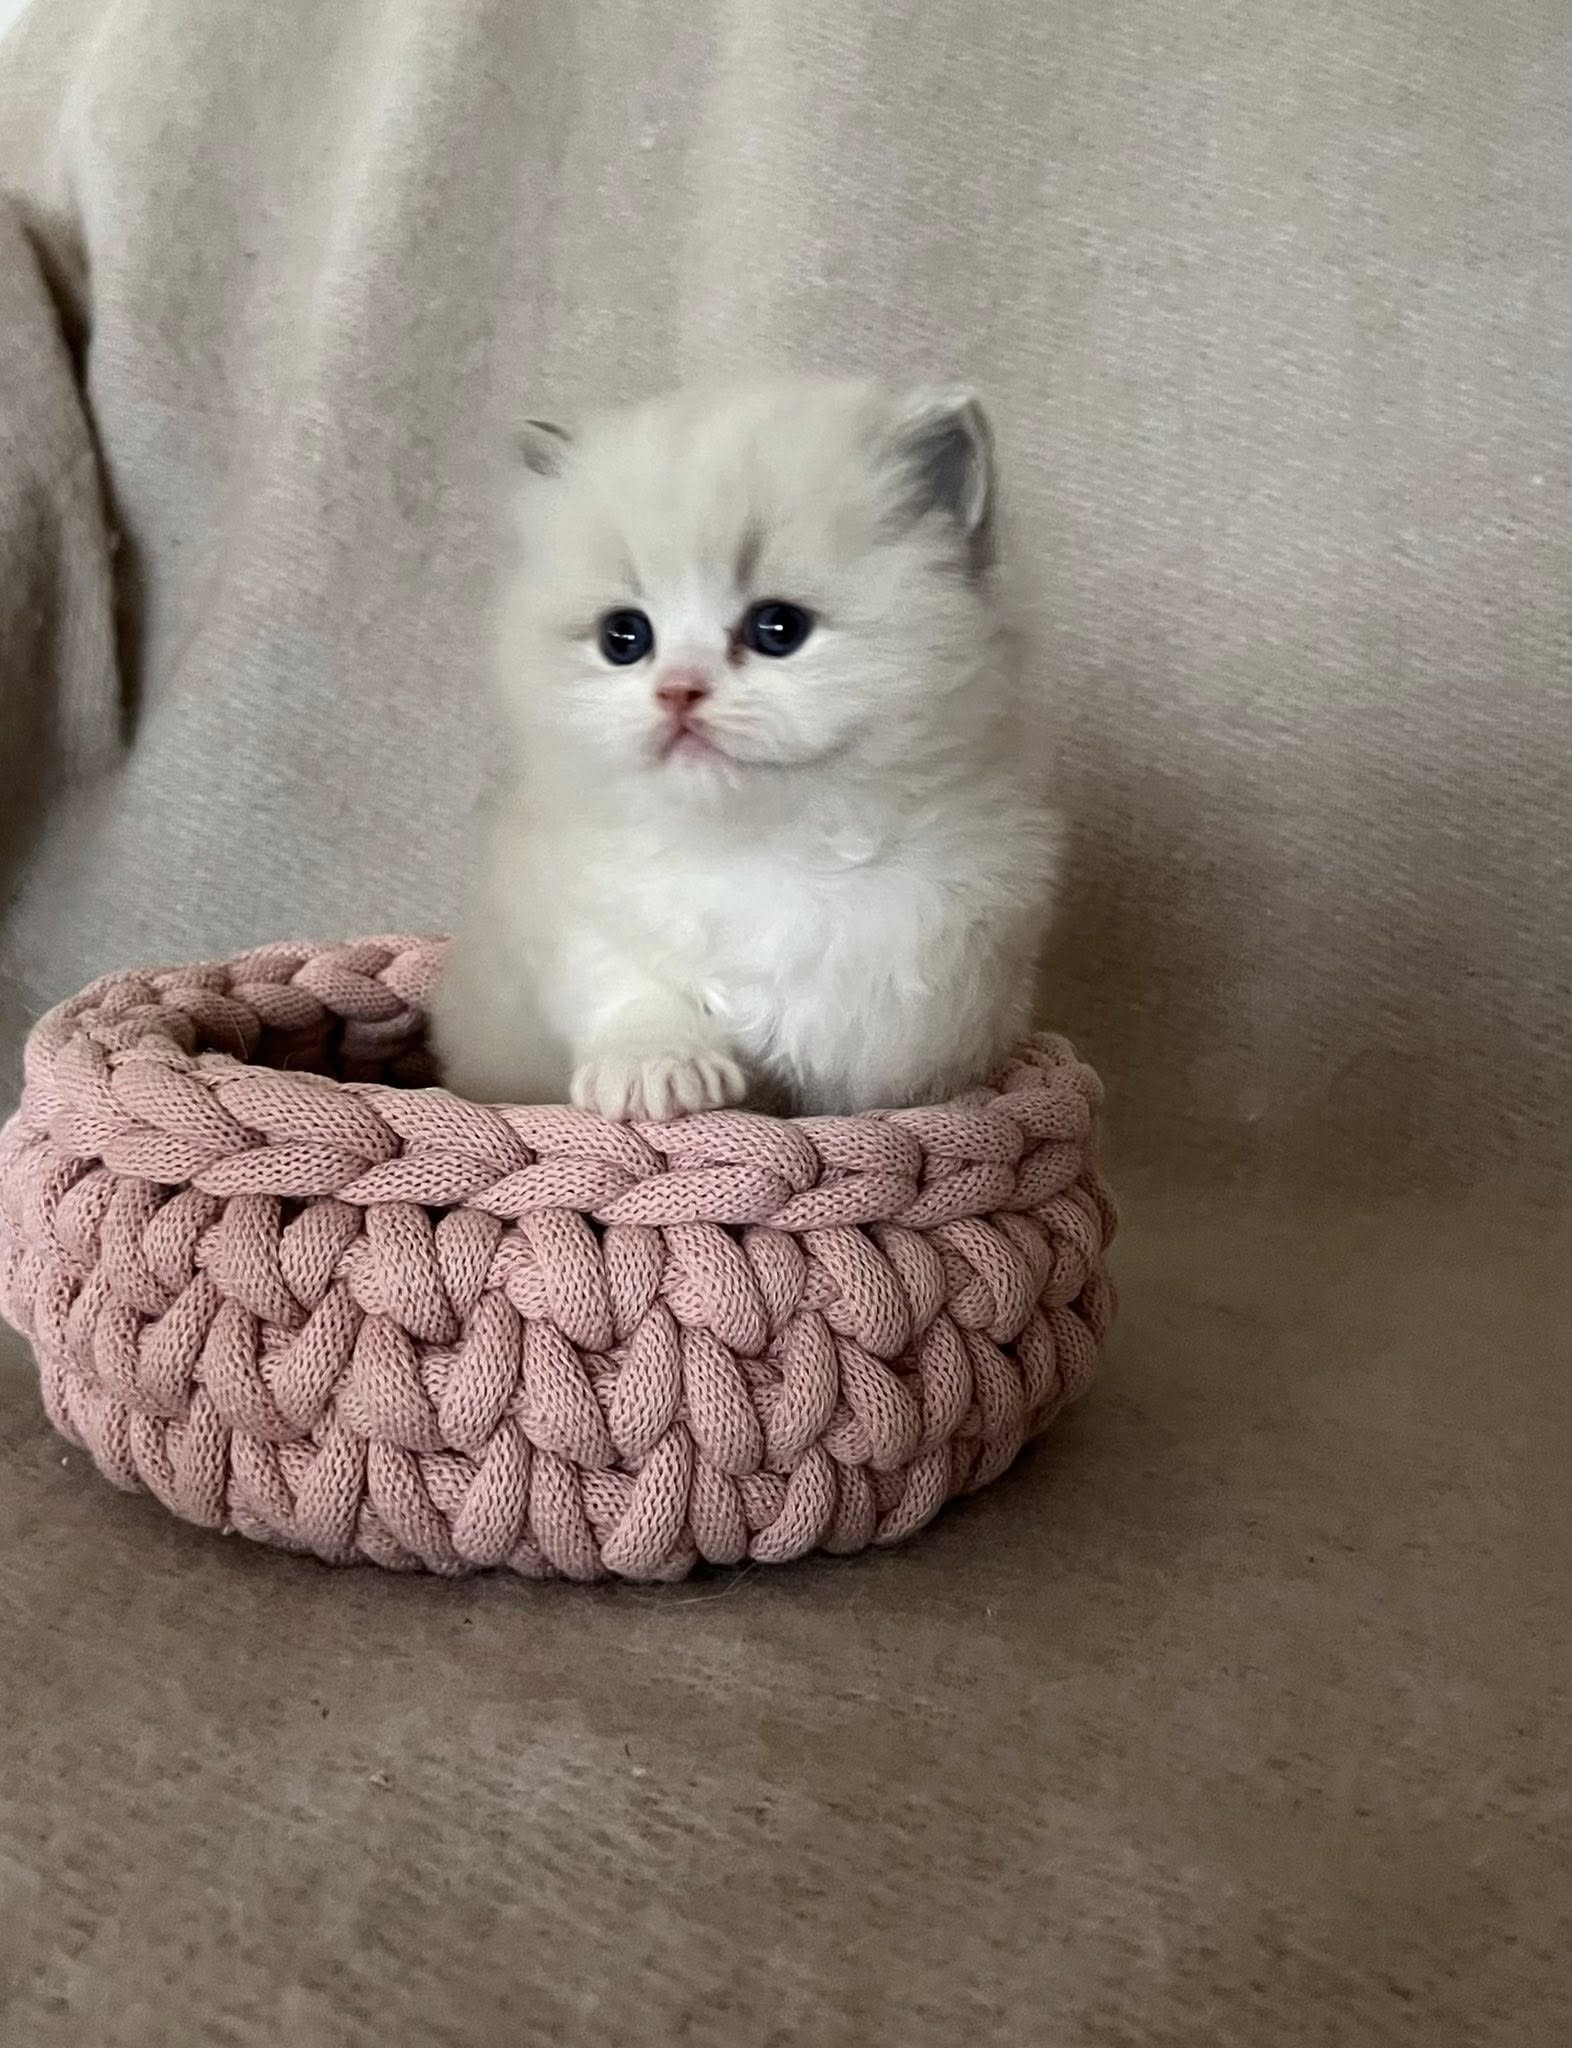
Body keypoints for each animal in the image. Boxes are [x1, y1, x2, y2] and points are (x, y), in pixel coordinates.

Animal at [432, 377, 1060, 1120]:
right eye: (624, 638)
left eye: (778, 628)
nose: (678, 691)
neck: (758, 847)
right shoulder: (576, 912)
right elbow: (634, 990)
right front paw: (661, 1072)